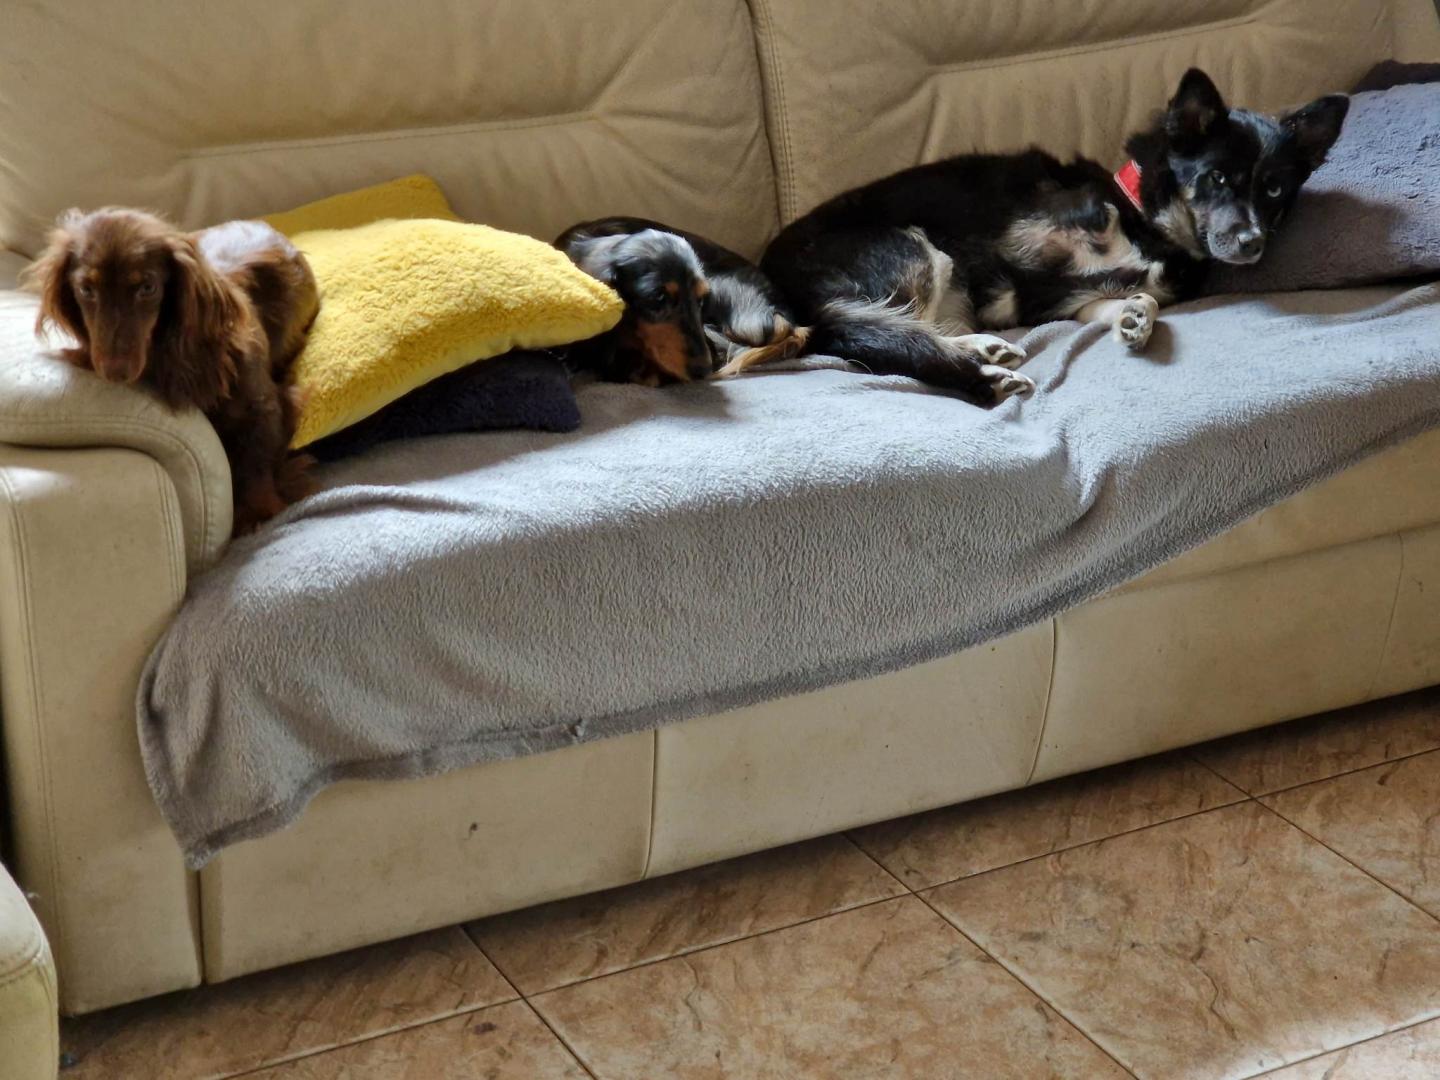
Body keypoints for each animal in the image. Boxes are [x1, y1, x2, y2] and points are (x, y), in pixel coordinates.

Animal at [24, 208, 319, 534]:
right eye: (86, 289)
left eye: (147, 287)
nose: (114, 372)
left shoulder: (267, 404)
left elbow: (256, 459)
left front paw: (257, 511)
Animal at [761, 68, 1349, 405]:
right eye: (1217, 178)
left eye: (1274, 188)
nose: (1252, 243)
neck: (1148, 223)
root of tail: (779, 279)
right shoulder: (1014, 250)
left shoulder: (1071, 300)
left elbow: (1125, 298)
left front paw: (1136, 316)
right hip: (917, 250)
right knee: (891, 331)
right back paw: (981, 370)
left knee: (898, 329)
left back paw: (984, 349)